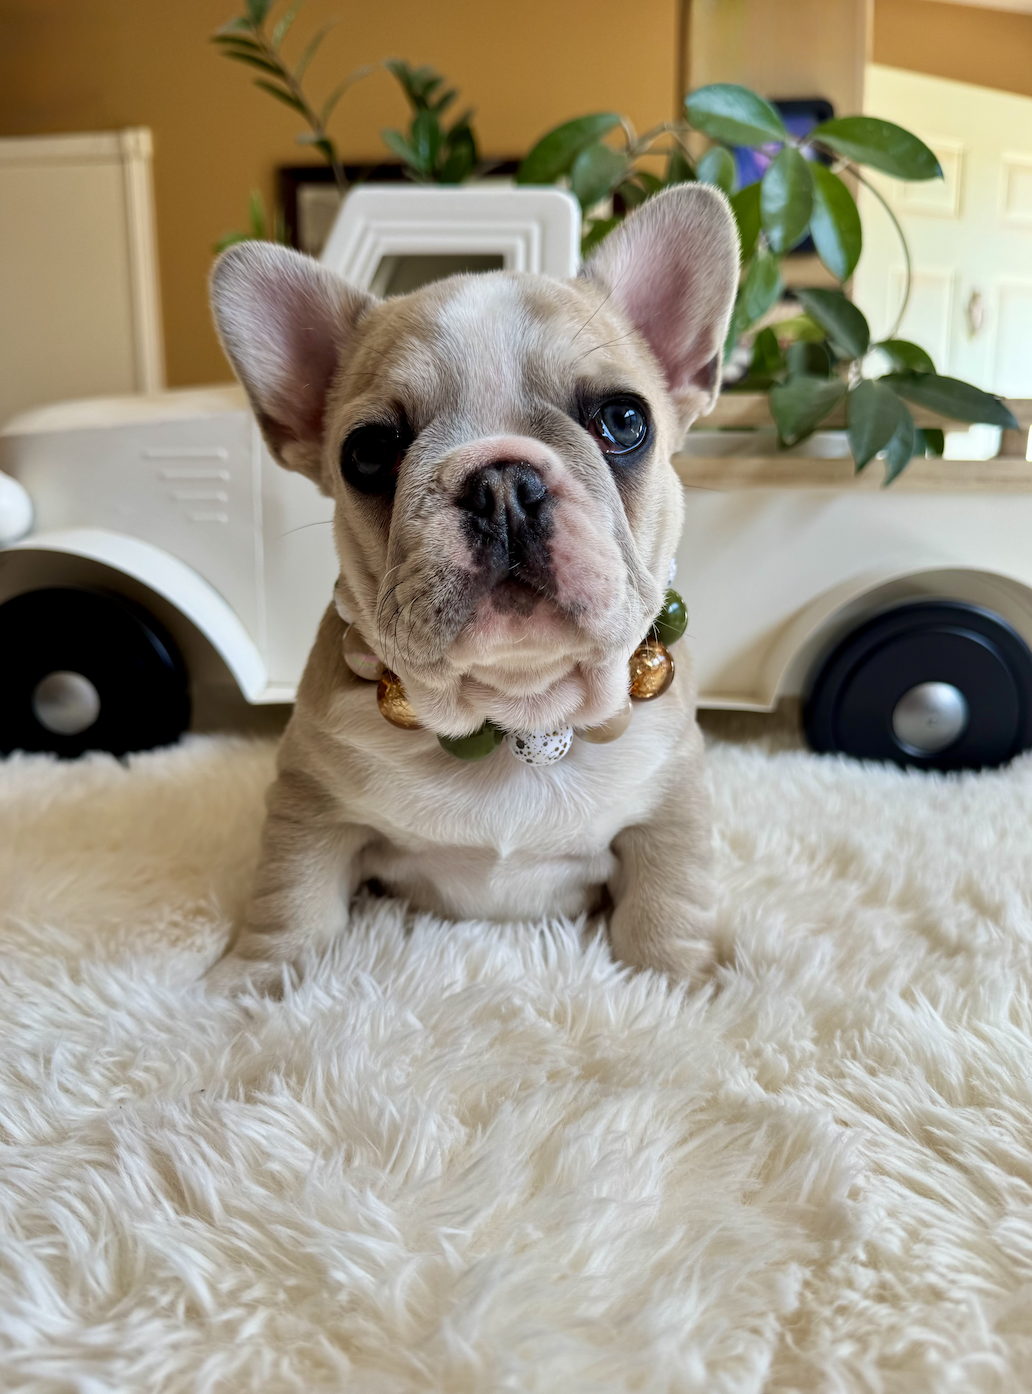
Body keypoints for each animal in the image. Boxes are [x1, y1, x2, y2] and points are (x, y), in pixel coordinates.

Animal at [208, 183, 739, 992]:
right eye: (368, 452)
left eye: (624, 421)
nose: (503, 484)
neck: (517, 706)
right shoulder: (310, 806)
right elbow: (290, 894)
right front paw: (253, 979)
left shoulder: (672, 805)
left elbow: (671, 896)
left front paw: (678, 983)